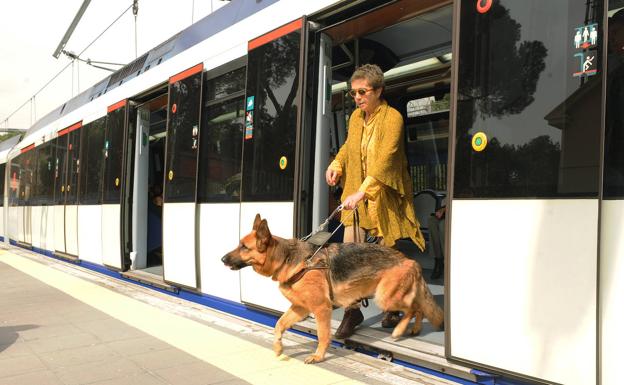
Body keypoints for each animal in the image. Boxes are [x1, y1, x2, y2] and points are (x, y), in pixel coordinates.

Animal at [221, 213, 444, 364]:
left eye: (244, 247)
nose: (222, 259)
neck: (287, 259)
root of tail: (409, 260)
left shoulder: (321, 309)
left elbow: (322, 335)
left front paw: (318, 356)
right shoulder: (300, 308)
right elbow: (279, 324)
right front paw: (278, 347)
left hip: (384, 297)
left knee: (412, 309)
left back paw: (399, 329)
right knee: (418, 307)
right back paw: (414, 328)